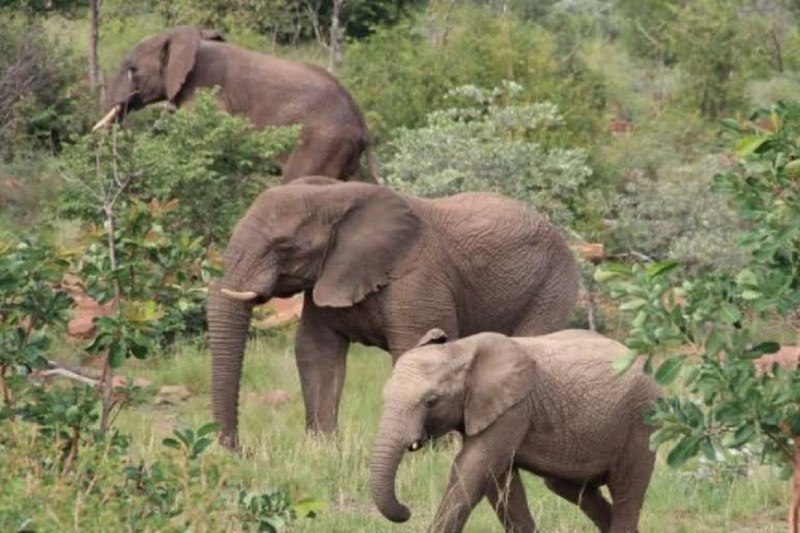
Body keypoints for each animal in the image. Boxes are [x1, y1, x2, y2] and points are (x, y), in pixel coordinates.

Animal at [208, 177, 580, 449]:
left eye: (285, 247)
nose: (236, 449)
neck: (335, 194)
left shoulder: (418, 279)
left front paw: (428, 452)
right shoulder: (329, 277)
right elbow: (317, 350)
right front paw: (324, 447)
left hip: (551, 285)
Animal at [369, 328, 660, 533]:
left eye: (431, 401)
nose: (406, 511)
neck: (460, 349)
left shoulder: (514, 408)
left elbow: (472, 470)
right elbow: (500, 481)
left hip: (641, 419)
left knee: (626, 491)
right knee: (570, 488)